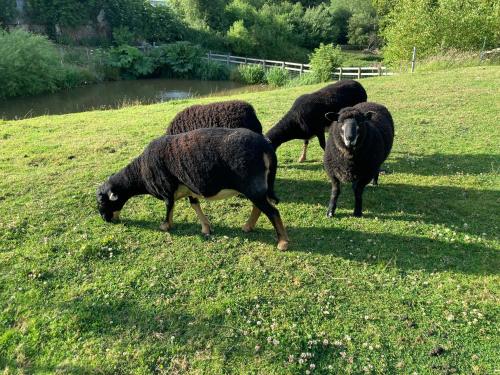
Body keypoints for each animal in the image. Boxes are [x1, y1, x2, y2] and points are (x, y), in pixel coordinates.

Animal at [96, 128, 290, 251]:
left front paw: (165, 226)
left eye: (102, 202)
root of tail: (266, 147)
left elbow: (169, 207)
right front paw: (206, 228)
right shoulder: (190, 188)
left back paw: (282, 242)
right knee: (259, 207)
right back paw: (248, 227)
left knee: (272, 211)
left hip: (251, 185)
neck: (141, 173)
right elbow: (195, 206)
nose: (105, 219)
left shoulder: (166, 189)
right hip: (255, 187)